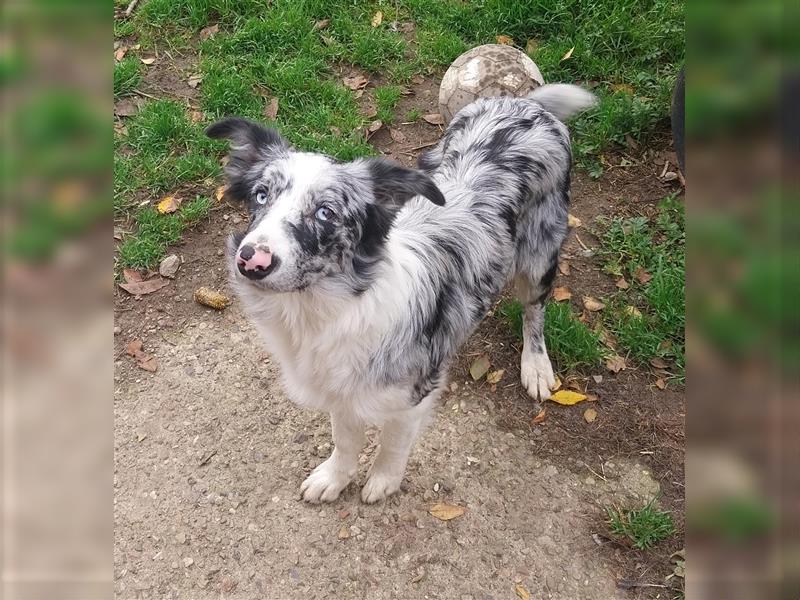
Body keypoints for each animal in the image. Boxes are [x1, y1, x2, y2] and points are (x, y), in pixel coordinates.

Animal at [206, 84, 592, 504]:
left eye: (326, 213)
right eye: (261, 196)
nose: (251, 260)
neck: (324, 308)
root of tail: (525, 103)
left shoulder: (414, 392)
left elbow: (393, 441)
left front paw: (383, 480)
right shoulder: (342, 385)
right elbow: (344, 438)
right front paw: (335, 478)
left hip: (540, 254)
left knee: (534, 310)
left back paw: (536, 365)